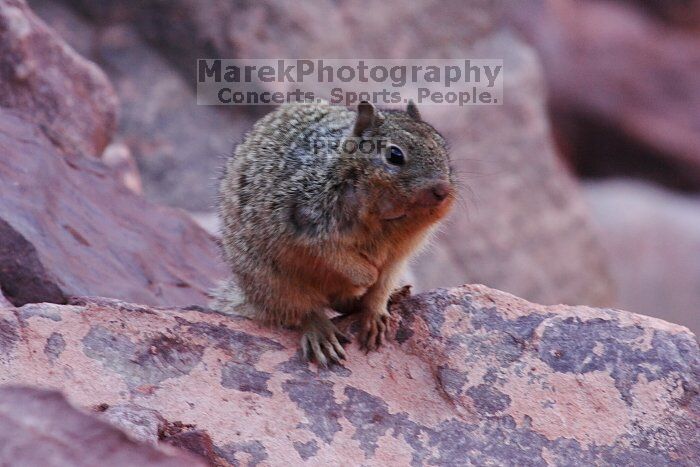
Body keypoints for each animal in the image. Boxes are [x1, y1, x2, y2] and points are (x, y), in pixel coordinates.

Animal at [215, 100, 454, 368]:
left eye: (442, 147)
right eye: (395, 155)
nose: (443, 190)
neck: (387, 218)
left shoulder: (399, 257)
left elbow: (381, 285)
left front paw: (375, 314)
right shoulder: (306, 225)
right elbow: (343, 261)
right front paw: (366, 276)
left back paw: (391, 296)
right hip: (274, 282)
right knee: (305, 310)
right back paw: (323, 335)